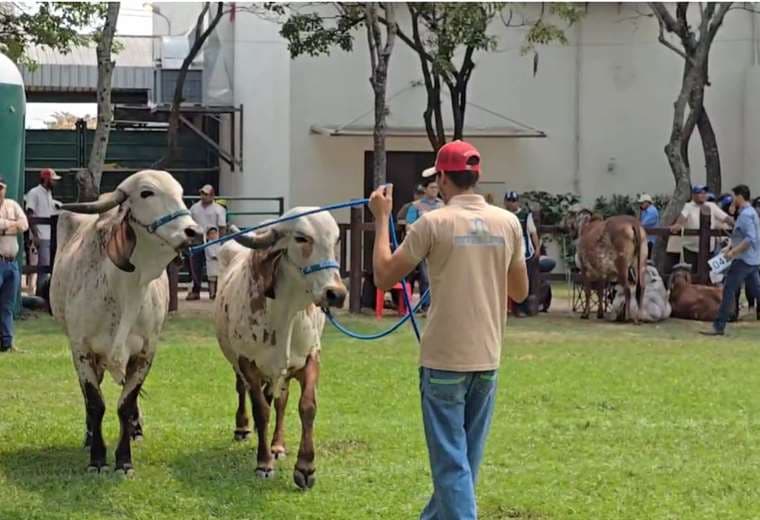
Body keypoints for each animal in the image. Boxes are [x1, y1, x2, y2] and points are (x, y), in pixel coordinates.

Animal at [51, 171, 203, 476]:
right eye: (146, 193)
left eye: (181, 194)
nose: (193, 232)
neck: (126, 287)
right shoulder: (81, 350)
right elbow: (95, 403)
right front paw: (97, 457)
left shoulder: (145, 353)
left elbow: (126, 403)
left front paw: (123, 459)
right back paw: (89, 436)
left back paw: (135, 429)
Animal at [212, 206, 346, 488]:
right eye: (301, 238)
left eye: (336, 240)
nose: (336, 293)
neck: (286, 313)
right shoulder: (247, 363)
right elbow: (261, 410)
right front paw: (264, 463)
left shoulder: (309, 358)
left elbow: (307, 406)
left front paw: (305, 467)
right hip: (237, 364)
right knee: (243, 390)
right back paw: (243, 428)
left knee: (280, 401)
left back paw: (278, 445)